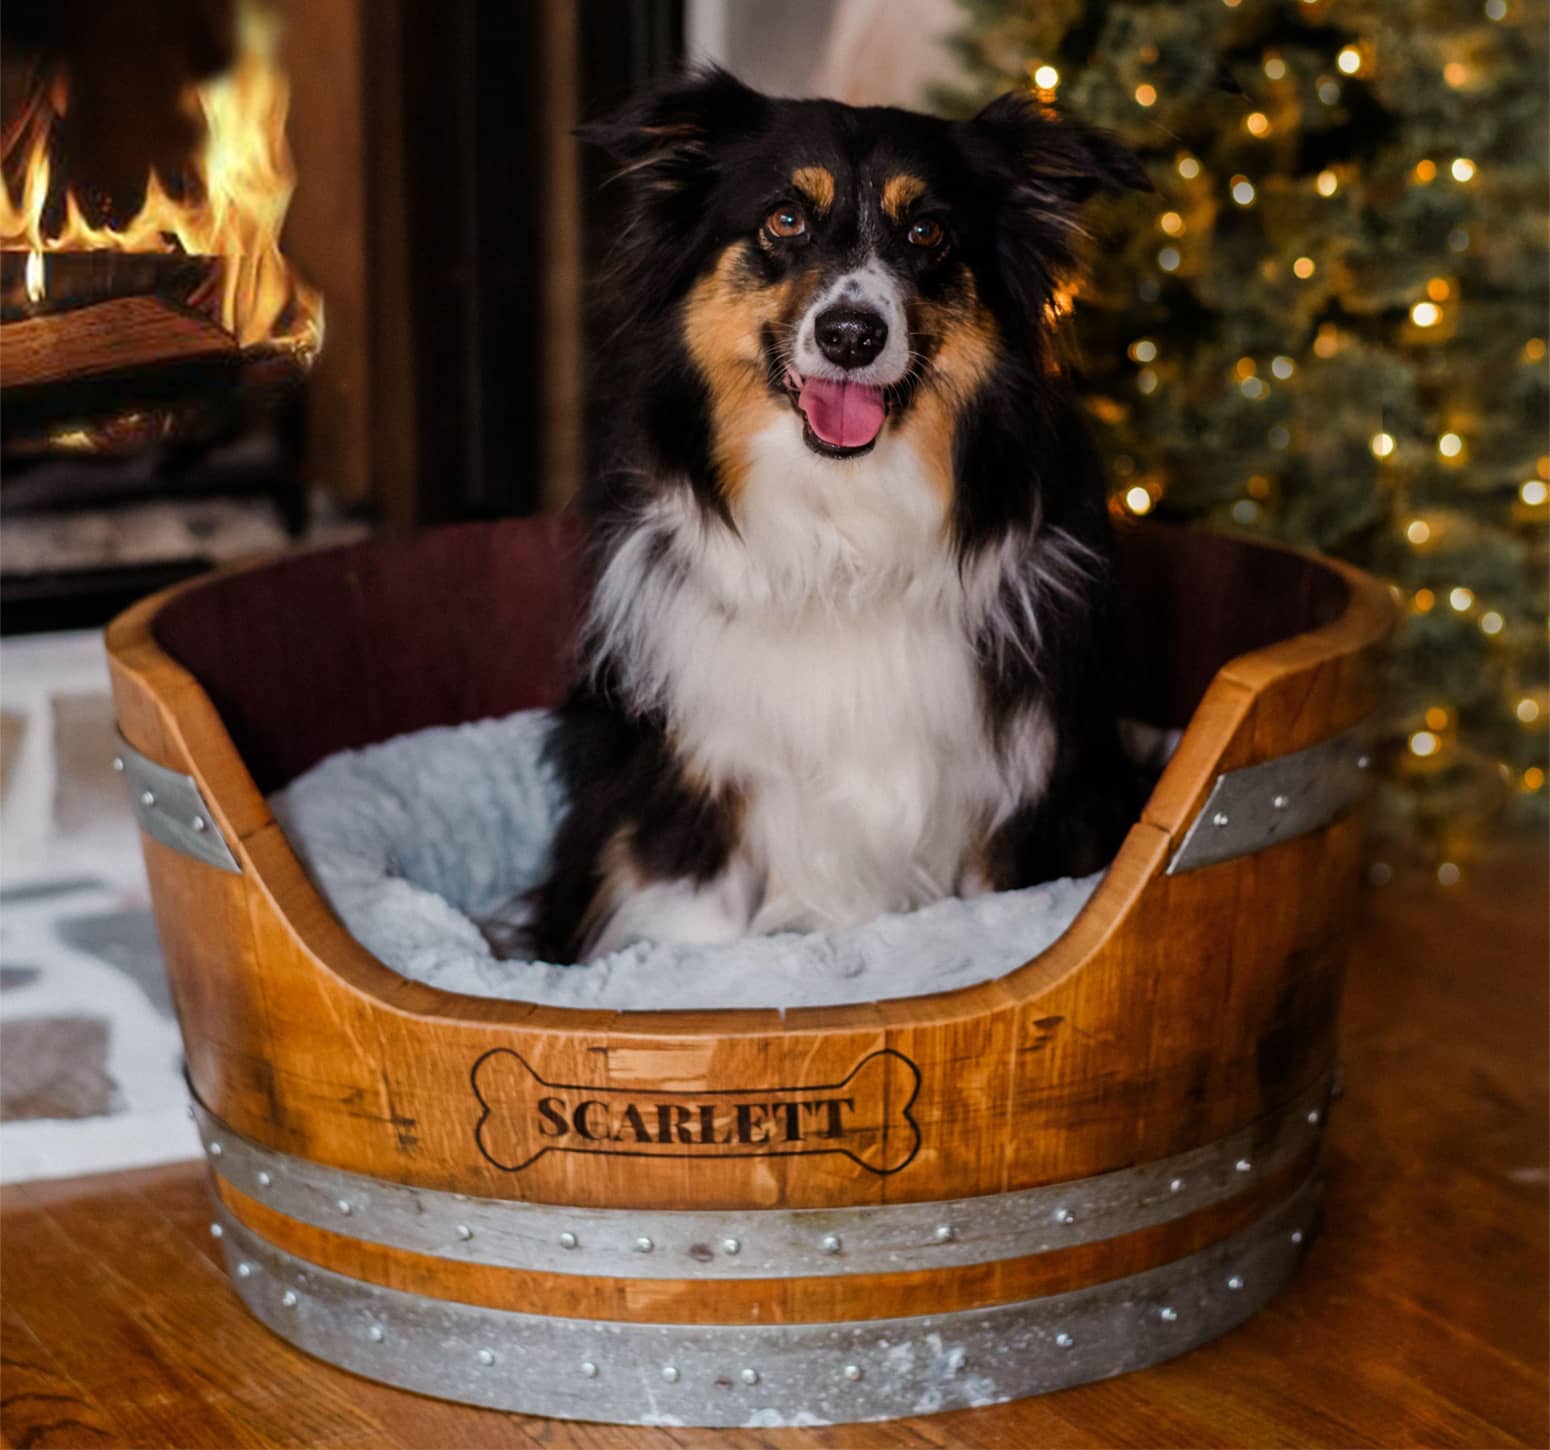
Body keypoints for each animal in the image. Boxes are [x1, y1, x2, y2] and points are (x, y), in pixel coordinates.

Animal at [533, 73, 1153, 967]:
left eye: (928, 231)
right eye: (785, 219)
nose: (852, 335)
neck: (844, 528)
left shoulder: (1024, 796)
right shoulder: (695, 785)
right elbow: (696, 936)